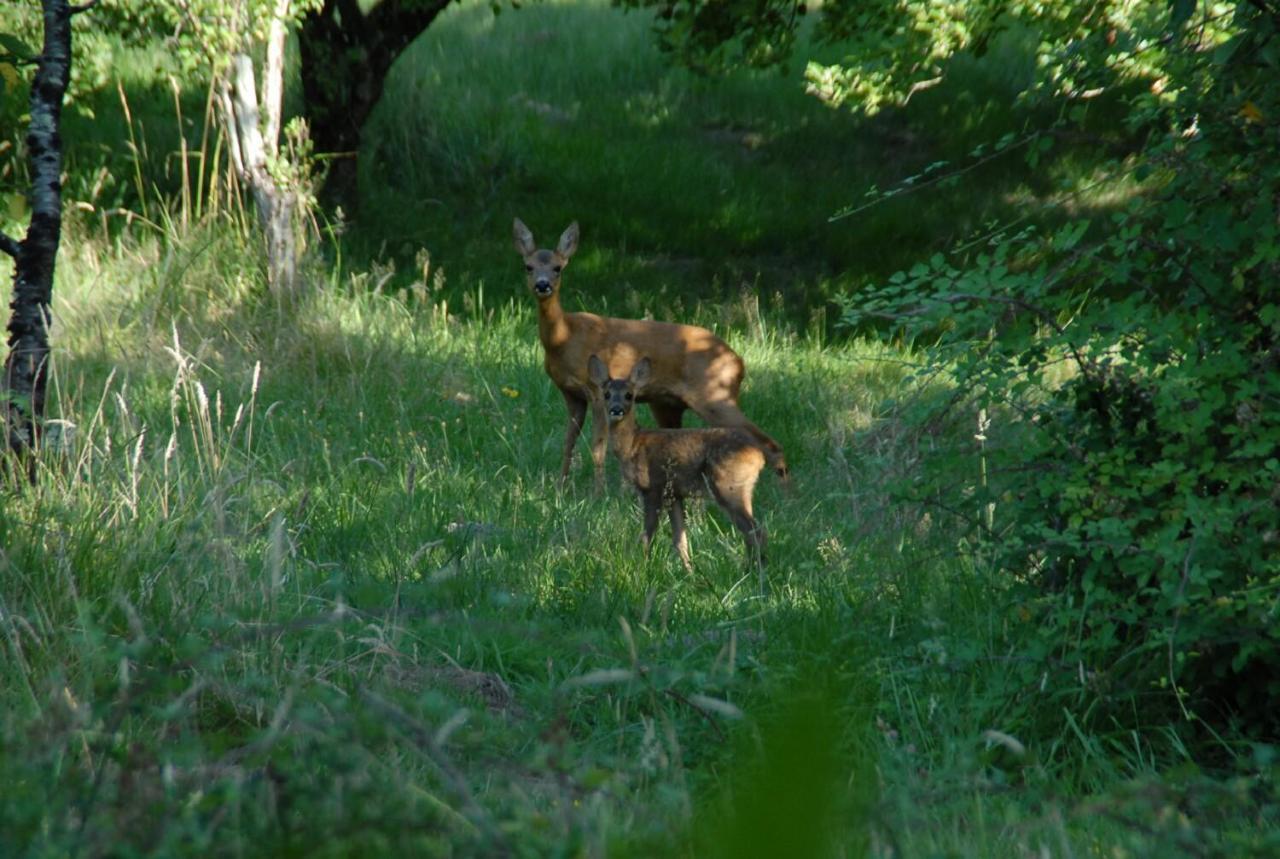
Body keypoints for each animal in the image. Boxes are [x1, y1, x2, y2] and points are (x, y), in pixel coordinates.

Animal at [514, 218, 783, 494]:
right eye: (528, 266)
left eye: (558, 268)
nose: (543, 285)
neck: (564, 337)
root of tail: (738, 362)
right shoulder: (572, 395)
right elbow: (568, 444)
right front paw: (559, 488)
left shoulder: (596, 390)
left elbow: (597, 447)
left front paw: (598, 493)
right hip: (668, 405)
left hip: (715, 395)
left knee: (768, 442)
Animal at [588, 355, 768, 570]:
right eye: (606, 394)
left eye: (629, 395)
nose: (616, 410)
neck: (633, 445)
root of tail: (759, 456)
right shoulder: (674, 494)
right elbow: (680, 540)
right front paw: (688, 571)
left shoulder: (654, 487)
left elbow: (647, 535)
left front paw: (642, 566)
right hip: (741, 488)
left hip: (728, 485)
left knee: (755, 531)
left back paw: (753, 570)